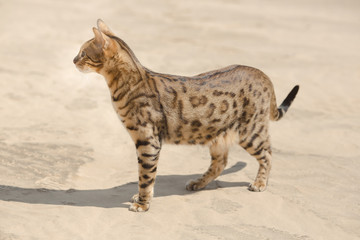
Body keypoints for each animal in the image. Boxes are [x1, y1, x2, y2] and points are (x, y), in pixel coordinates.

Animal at [72, 19, 298, 212]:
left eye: (83, 53)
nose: (73, 60)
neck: (127, 82)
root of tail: (262, 73)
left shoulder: (148, 141)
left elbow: (145, 176)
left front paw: (143, 203)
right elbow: (147, 177)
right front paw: (142, 198)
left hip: (250, 131)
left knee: (267, 154)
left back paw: (260, 182)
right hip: (218, 133)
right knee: (220, 163)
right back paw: (198, 182)